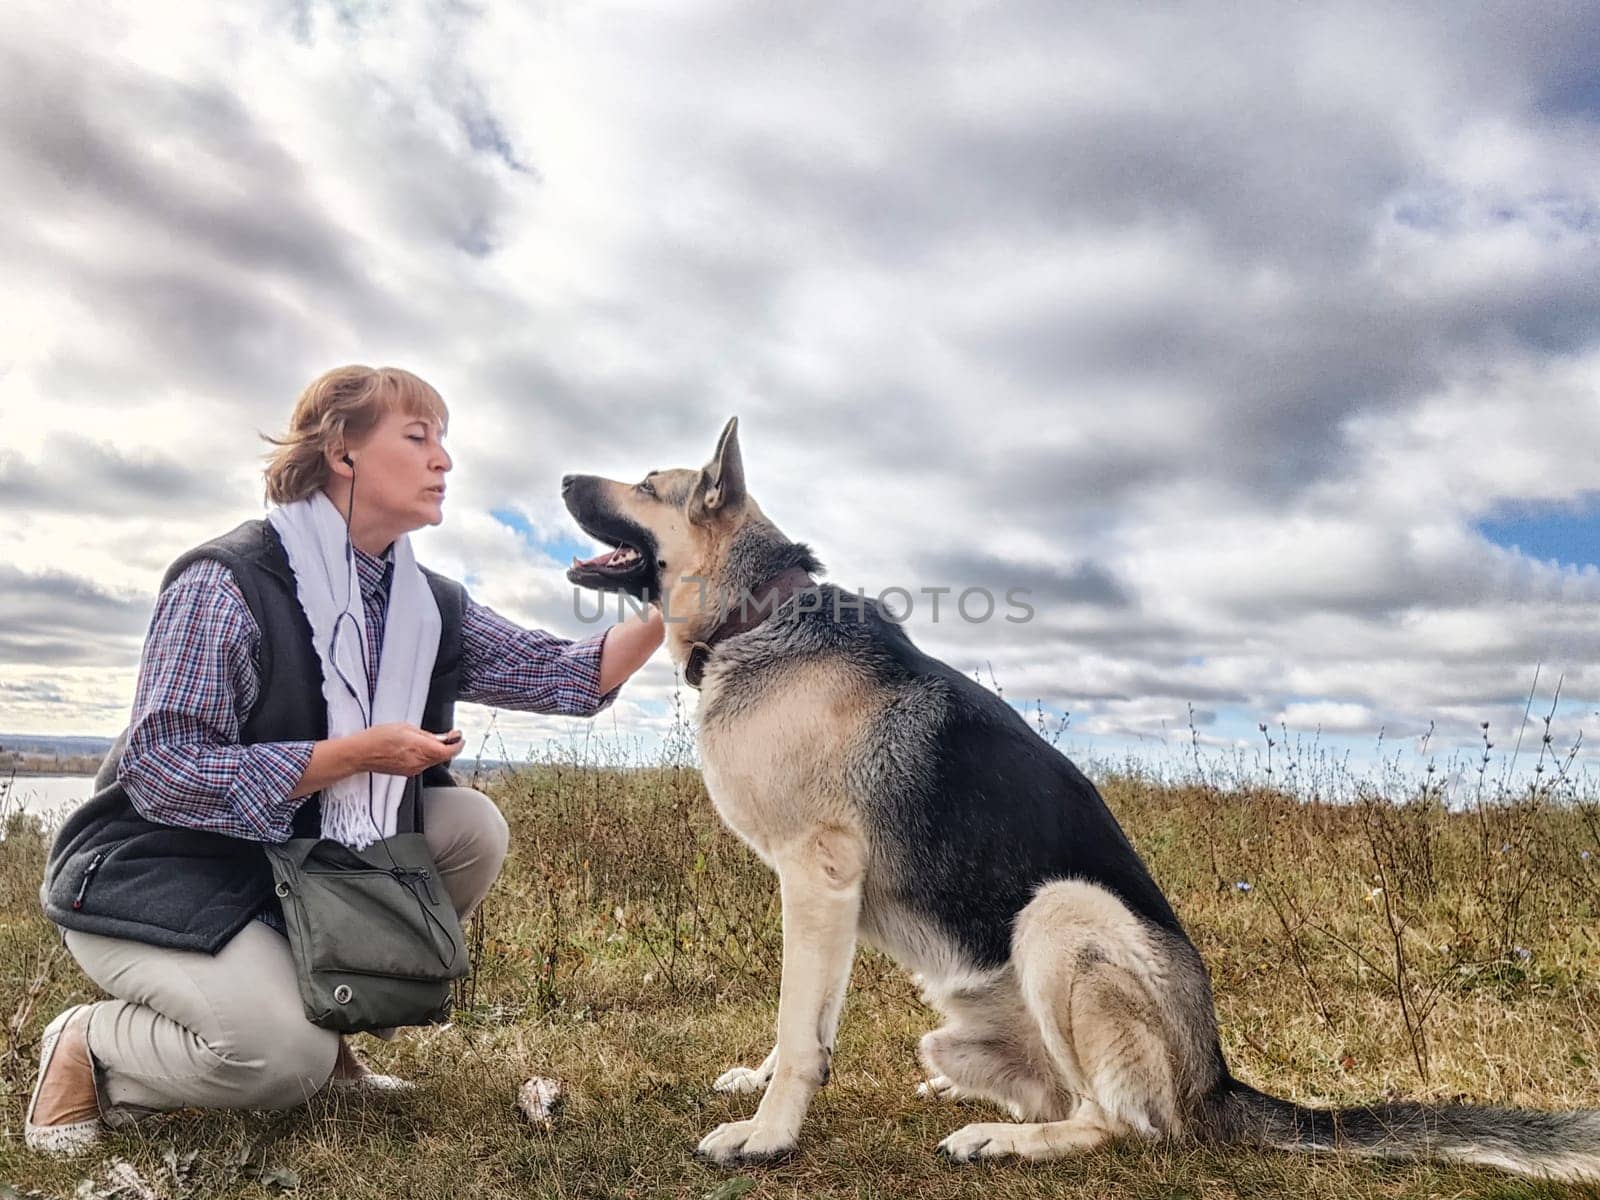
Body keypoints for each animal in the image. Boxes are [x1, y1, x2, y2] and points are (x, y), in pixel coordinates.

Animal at [563, 419, 1600, 1177]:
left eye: (647, 483)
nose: (566, 478)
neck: (756, 615)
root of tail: (1216, 1080)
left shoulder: (817, 879)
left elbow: (799, 1023)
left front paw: (769, 1134)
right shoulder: (823, 903)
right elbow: (805, 1025)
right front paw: (763, 1084)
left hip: (1064, 915)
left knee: (1118, 1120)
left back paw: (1011, 1138)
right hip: (963, 1026)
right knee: (1058, 1091)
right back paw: (972, 1099)